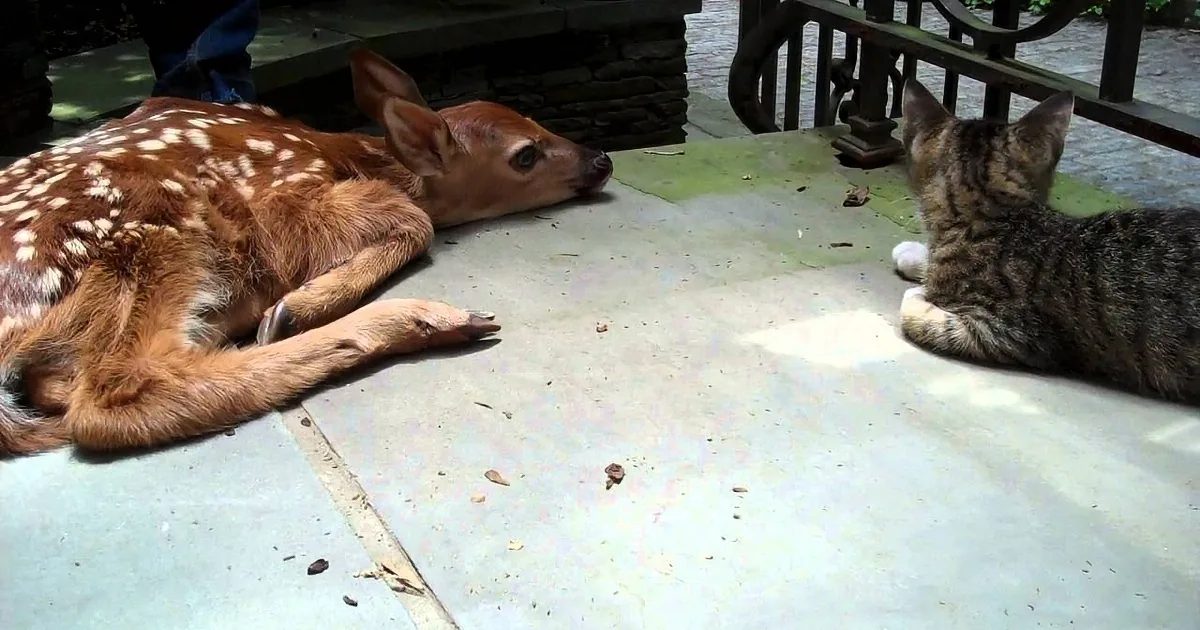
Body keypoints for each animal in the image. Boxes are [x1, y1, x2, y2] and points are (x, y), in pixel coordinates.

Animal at [0, 48, 614, 456]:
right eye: (525, 155)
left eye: (534, 120)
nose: (602, 158)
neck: (359, 158)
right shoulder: (289, 205)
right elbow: (415, 222)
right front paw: (300, 303)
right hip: (158, 236)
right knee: (112, 397)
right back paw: (422, 318)